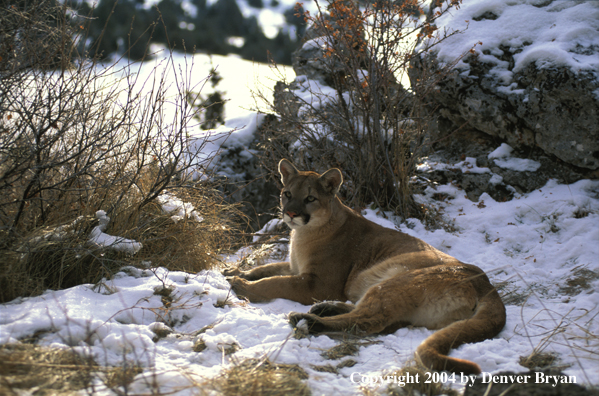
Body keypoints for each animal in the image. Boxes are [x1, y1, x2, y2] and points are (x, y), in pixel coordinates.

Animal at [225, 159, 506, 374]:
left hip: (396, 283)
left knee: (368, 320)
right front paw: (236, 271)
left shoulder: (316, 283)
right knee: (377, 318)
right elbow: (269, 269)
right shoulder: (296, 268)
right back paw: (323, 310)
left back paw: (307, 320)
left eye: (310, 198)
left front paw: (241, 285)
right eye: (287, 194)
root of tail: (486, 283)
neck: (303, 234)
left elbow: (275, 283)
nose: (291, 214)